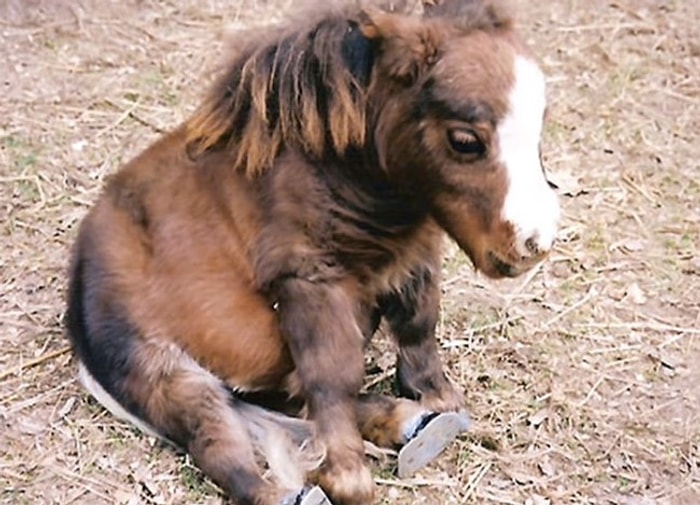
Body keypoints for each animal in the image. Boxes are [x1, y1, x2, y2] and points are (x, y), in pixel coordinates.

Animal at [64, 0, 556, 502]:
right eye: (465, 140)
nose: (534, 244)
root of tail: (77, 309)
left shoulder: (411, 254)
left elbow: (418, 328)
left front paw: (441, 404)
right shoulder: (306, 280)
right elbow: (333, 372)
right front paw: (347, 477)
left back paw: (412, 424)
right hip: (165, 374)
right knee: (218, 438)